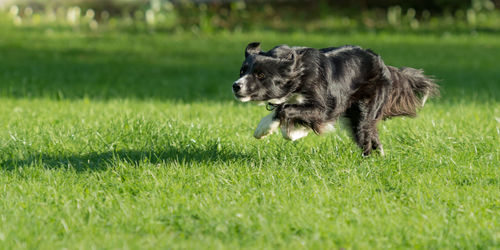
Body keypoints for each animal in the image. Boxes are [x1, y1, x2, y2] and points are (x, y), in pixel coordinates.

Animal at [232, 43, 436, 156]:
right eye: (242, 71)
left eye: (260, 75)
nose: (236, 86)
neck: (298, 73)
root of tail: (384, 65)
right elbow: (282, 109)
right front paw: (278, 129)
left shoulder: (324, 106)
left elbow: (286, 110)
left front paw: (283, 131)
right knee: (372, 134)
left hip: (364, 108)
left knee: (365, 134)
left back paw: (367, 161)